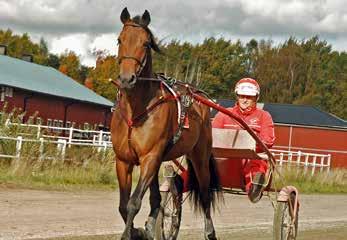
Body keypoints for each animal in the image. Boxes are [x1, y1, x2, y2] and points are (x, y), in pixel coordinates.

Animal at [111, 7, 220, 240]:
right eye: (119, 40)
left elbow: (134, 203)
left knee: (205, 194)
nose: (126, 79)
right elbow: (124, 205)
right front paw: (139, 231)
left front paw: (130, 233)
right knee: (156, 200)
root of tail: (198, 96)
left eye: (145, 43)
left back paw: (210, 231)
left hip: (199, 156)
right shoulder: (123, 160)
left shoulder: (150, 157)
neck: (137, 109)